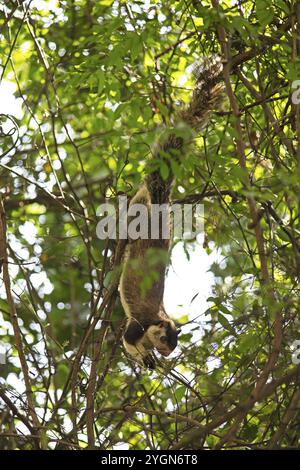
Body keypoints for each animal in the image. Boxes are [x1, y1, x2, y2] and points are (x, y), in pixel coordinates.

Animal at [119, 55, 223, 370]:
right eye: (165, 338)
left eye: (175, 344)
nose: (166, 353)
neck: (158, 319)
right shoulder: (137, 325)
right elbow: (128, 341)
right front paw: (145, 357)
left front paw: (150, 358)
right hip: (138, 218)